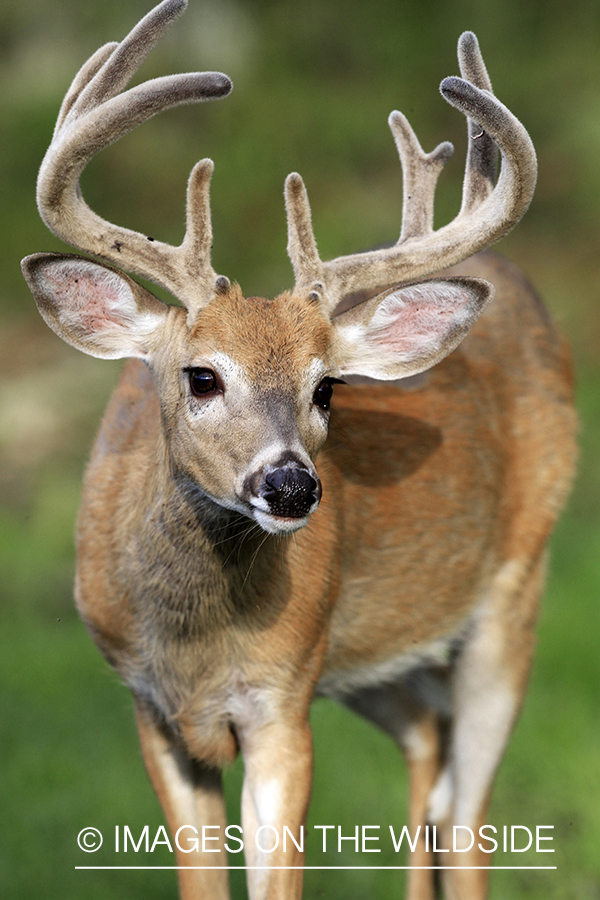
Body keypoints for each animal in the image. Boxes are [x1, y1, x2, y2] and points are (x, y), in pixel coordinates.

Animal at [22, 1, 576, 900]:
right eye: (201, 376)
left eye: (328, 389)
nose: (290, 486)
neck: (198, 643)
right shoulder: (151, 709)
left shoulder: (282, 700)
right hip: (373, 653)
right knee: (428, 742)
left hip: (516, 584)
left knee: (469, 813)